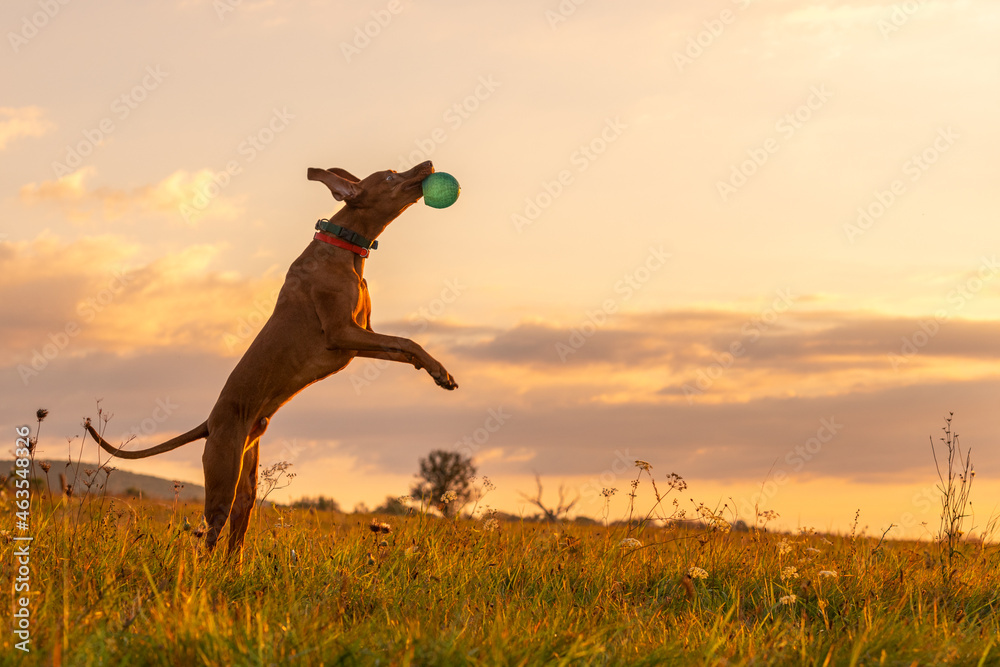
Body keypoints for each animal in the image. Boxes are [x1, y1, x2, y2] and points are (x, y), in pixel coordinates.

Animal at [85, 160, 458, 552]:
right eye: (390, 176)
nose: (429, 164)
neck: (344, 247)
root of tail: (210, 424)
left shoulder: (359, 339)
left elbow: (403, 345)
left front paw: (437, 372)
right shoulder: (342, 334)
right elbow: (405, 339)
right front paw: (439, 371)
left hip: (246, 484)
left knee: (235, 542)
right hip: (223, 477)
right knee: (209, 538)